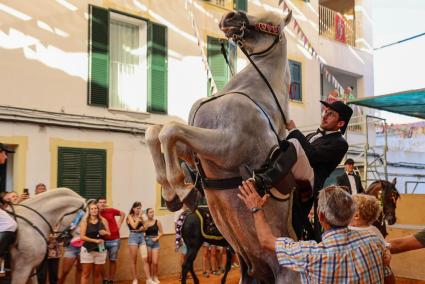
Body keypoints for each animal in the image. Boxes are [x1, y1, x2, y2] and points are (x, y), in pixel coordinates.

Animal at [147, 9, 300, 284]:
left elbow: (170, 131)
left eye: (268, 22)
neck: (251, 92)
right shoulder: (194, 149)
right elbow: (156, 133)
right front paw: (172, 192)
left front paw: (183, 191)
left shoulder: (226, 146)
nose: (230, 17)